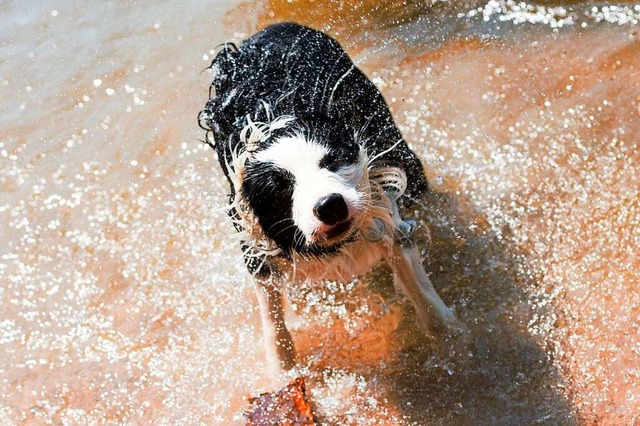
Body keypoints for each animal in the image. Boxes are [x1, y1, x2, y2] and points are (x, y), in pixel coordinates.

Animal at [200, 22, 464, 376]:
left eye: (332, 161)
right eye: (280, 186)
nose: (329, 205)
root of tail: (270, 29)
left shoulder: (377, 197)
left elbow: (411, 273)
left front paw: (450, 336)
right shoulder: (252, 238)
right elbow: (272, 318)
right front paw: (283, 372)